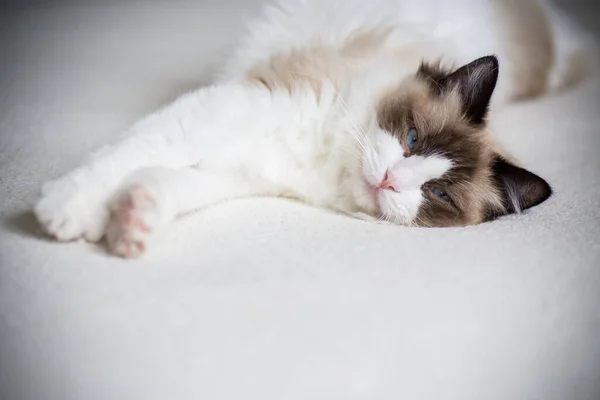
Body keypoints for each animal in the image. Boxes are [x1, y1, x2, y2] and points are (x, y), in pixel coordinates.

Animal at [34, 0, 596, 258]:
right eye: (412, 138)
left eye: (437, 194)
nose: (391, 180)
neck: (326, 162)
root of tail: (555, 29)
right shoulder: (237, 108)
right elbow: (127, 155)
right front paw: (66, 211)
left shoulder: (244, 168)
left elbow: (168, 181)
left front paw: (129, 221)